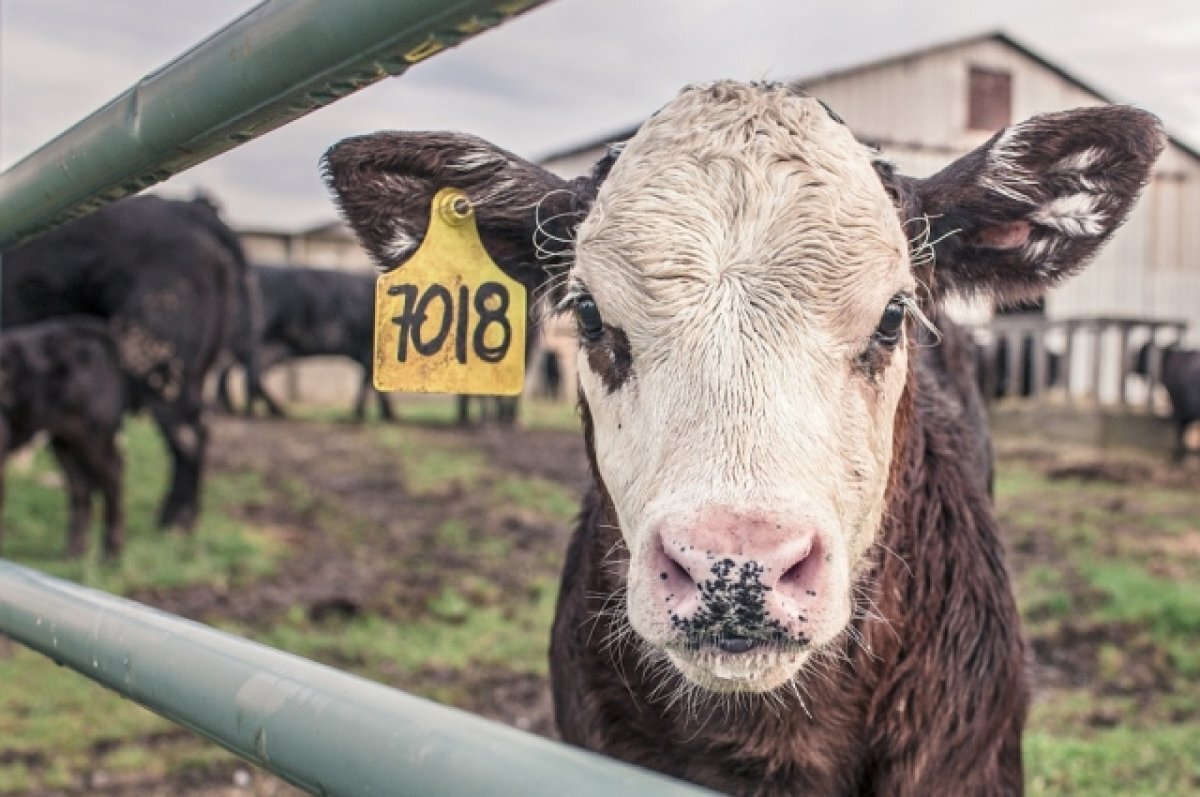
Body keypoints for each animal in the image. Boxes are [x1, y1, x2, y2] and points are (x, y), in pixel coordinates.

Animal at [0, 314, 123, 556]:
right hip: (64, 440)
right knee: (80, 485)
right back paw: (74, 552)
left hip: (94, 433)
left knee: (112, 474)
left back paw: (111, 553)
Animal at [211, 262, 388, 422]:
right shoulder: (369, 350)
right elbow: (370, 381)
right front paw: (379, 415)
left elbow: (368, 380)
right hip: (256, 341)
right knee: (246, 374)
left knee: (236, 371)